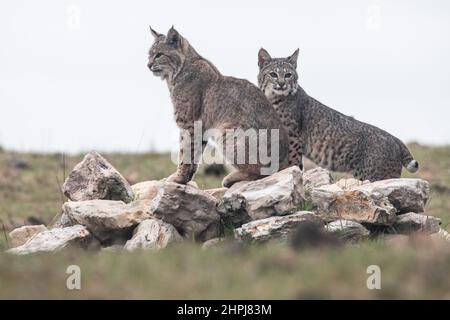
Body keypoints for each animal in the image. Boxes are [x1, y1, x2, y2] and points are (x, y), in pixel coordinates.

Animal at [148, 28, 288, 188]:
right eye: (149, 54)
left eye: (159, 55)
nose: (148, 65)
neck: (176, 73)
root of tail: (286, 162)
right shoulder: (201, 127)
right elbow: (194, 155)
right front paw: (185, 179)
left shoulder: (188, 123)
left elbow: (185, 152)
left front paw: (178, 179)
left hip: (226, 131)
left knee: (263, 173)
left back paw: (231, 178)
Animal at [256, 48, 418, 181]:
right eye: (273, 74)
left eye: (288, 75)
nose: (282, 84)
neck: (274, 97)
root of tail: (396, 139)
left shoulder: (292, 137)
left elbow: (292, 162)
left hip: (376, 176)